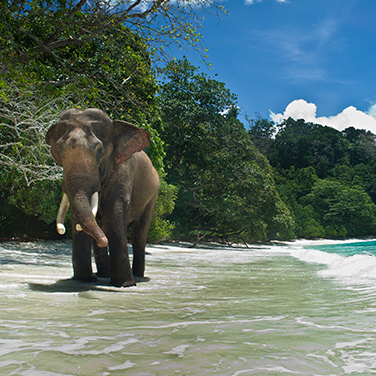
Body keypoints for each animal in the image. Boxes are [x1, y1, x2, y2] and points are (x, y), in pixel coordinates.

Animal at [46, 108, 159, 288]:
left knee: (139, 235)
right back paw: (103, 274)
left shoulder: (122, 173)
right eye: (59, 151)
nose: (103, 241)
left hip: (153, 196)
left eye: (99, 152)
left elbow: (115, 212)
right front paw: (84, 280)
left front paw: (125, 285)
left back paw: (137, 276)